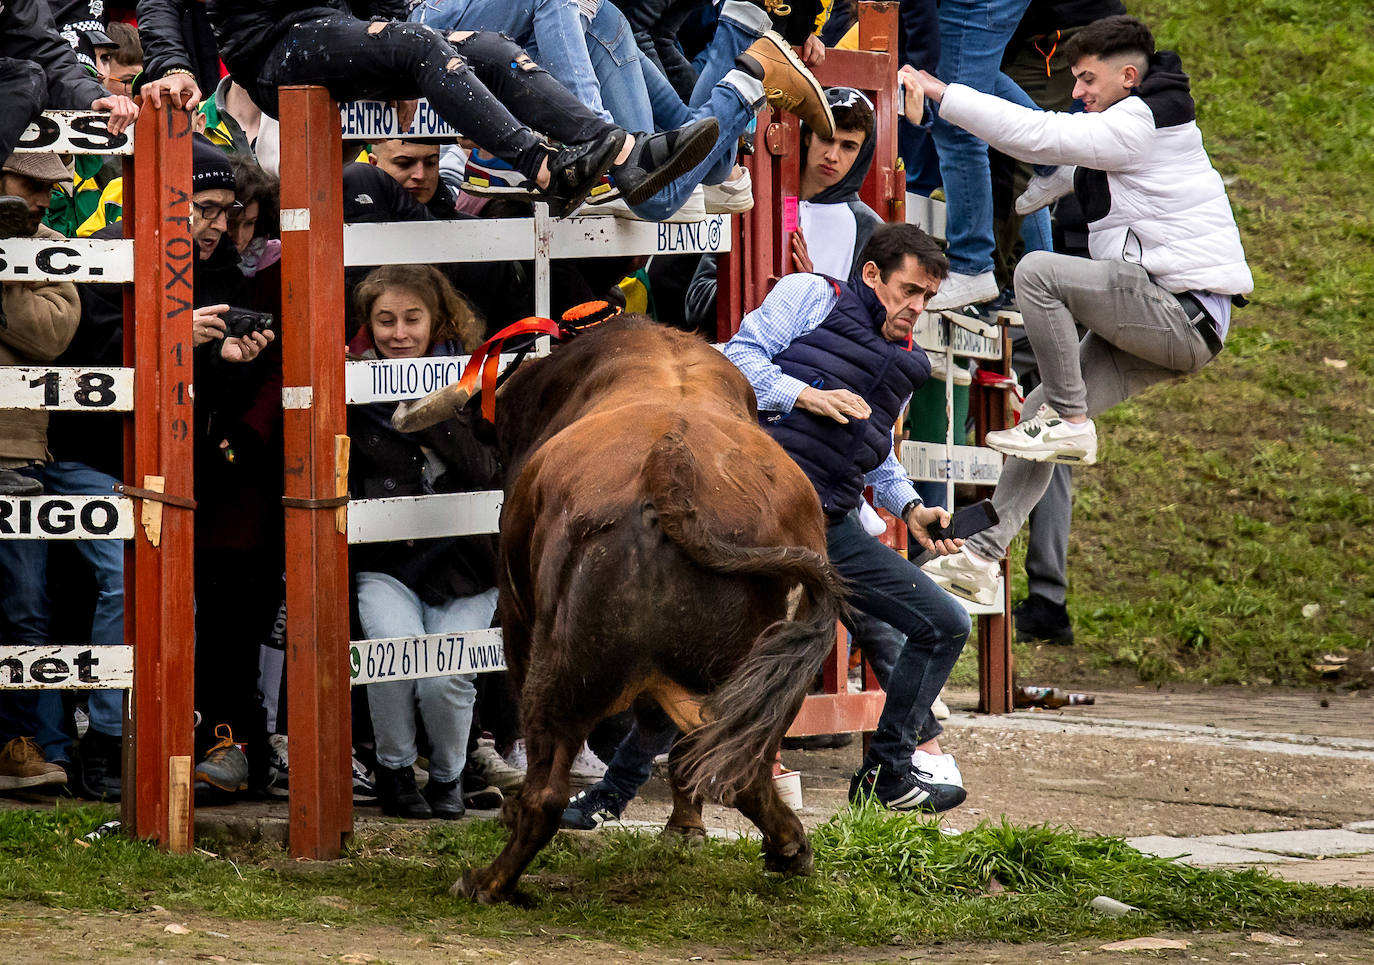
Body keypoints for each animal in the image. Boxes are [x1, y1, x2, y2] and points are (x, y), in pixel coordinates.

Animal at [398, 317, 840, 907]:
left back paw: (487, 882)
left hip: (559, 668)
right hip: (767, 681)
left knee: (547, 790)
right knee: (738, 767)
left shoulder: (516, 613)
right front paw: (686, 828)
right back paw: (789, 848)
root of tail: (669, 472)